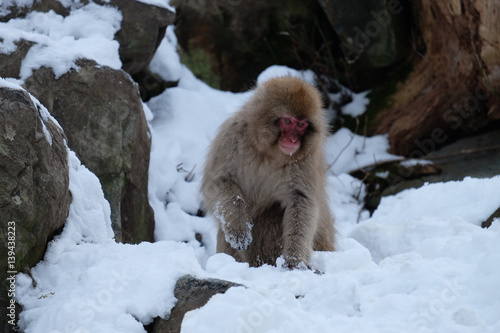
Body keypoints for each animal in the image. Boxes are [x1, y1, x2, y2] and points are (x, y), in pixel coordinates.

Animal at [200, 76, 336, 268]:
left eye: (301, 124)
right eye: (287, 121)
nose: (293, 140)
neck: (269, 151)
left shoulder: (307, 158)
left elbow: (301, 200)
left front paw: (295, 261)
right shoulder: (231, 137)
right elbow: (218, 181)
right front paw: (238, 227)